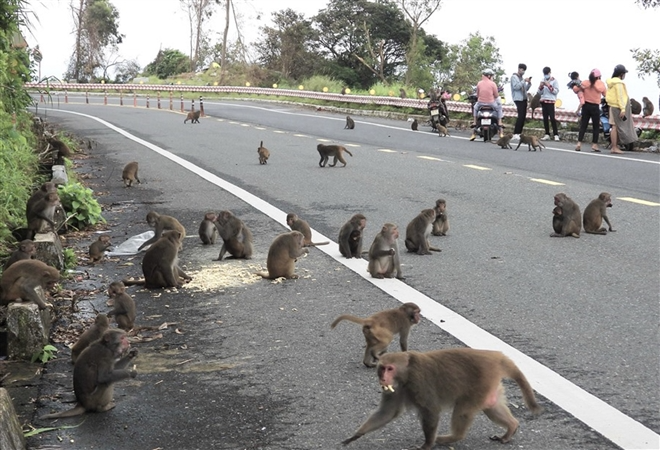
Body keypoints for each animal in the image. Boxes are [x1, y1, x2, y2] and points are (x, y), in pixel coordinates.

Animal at [342, 348, 543, 448]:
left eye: (390, 368)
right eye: (382, 368)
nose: (383, 378)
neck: (406, 374)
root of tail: (497, 357)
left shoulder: (419, 382)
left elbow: (431, 410)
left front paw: (427, 444)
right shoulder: (396, 389)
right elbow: (387, 412)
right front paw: (356, 435)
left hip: (481, 382)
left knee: (463, 410)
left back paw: (453, 437)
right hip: (489, 384)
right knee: (491, 405)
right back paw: (511, 427)